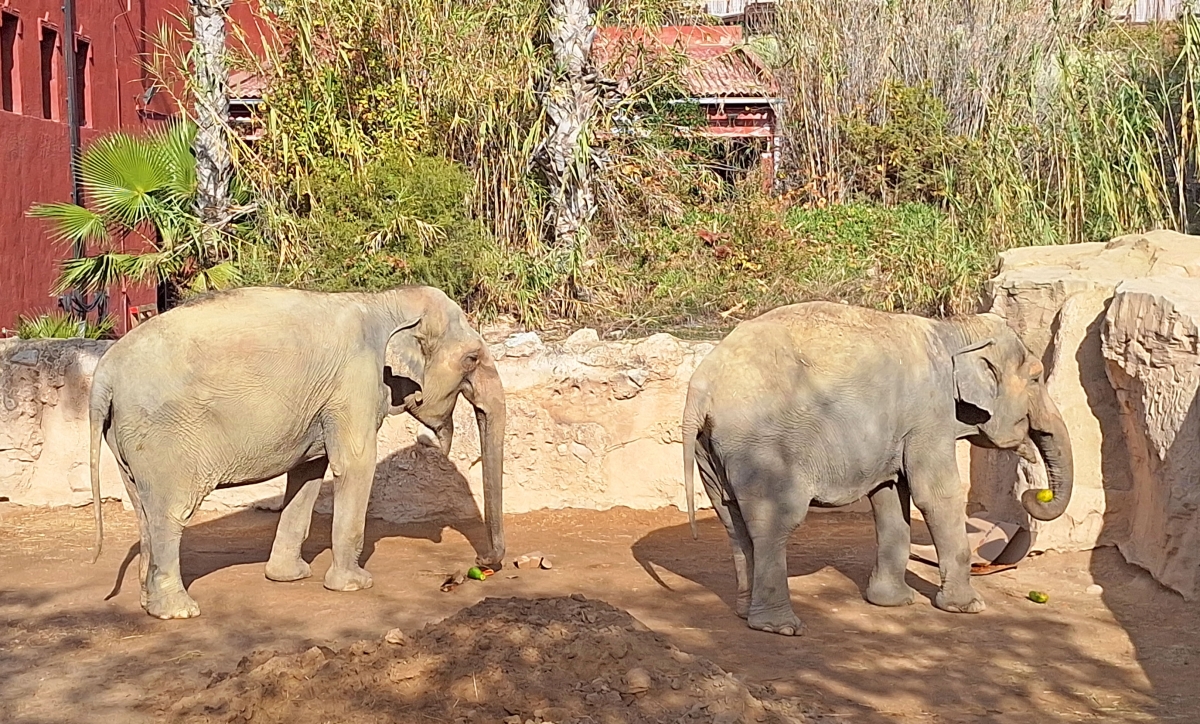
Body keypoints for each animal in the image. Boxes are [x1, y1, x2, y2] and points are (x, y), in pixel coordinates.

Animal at [87, 285, 506, 620]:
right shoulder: (354, 383)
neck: (384, 300)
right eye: (471, 358)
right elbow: (355, 465)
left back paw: (149, 604)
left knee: (145, 512)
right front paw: (355, 585)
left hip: (126, 438)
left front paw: (289, 577)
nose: (481, 563)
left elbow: (308, 473)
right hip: (162, 435)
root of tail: (105, 373)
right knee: (170, 514)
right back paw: (179, 612)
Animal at [681, 301, 1072, 636]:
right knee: (774, 523)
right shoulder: (929, 417)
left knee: (733, 521)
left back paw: (745, 614)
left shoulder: (899, 430)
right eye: (1036, 378)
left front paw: (893, 603)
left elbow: (889, 497)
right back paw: (781, 627)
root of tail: (702, 390)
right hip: (762, 448)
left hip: (712, 450)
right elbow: (936, 496)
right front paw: (969, 607)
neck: (953, 331)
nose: (1033, 492)